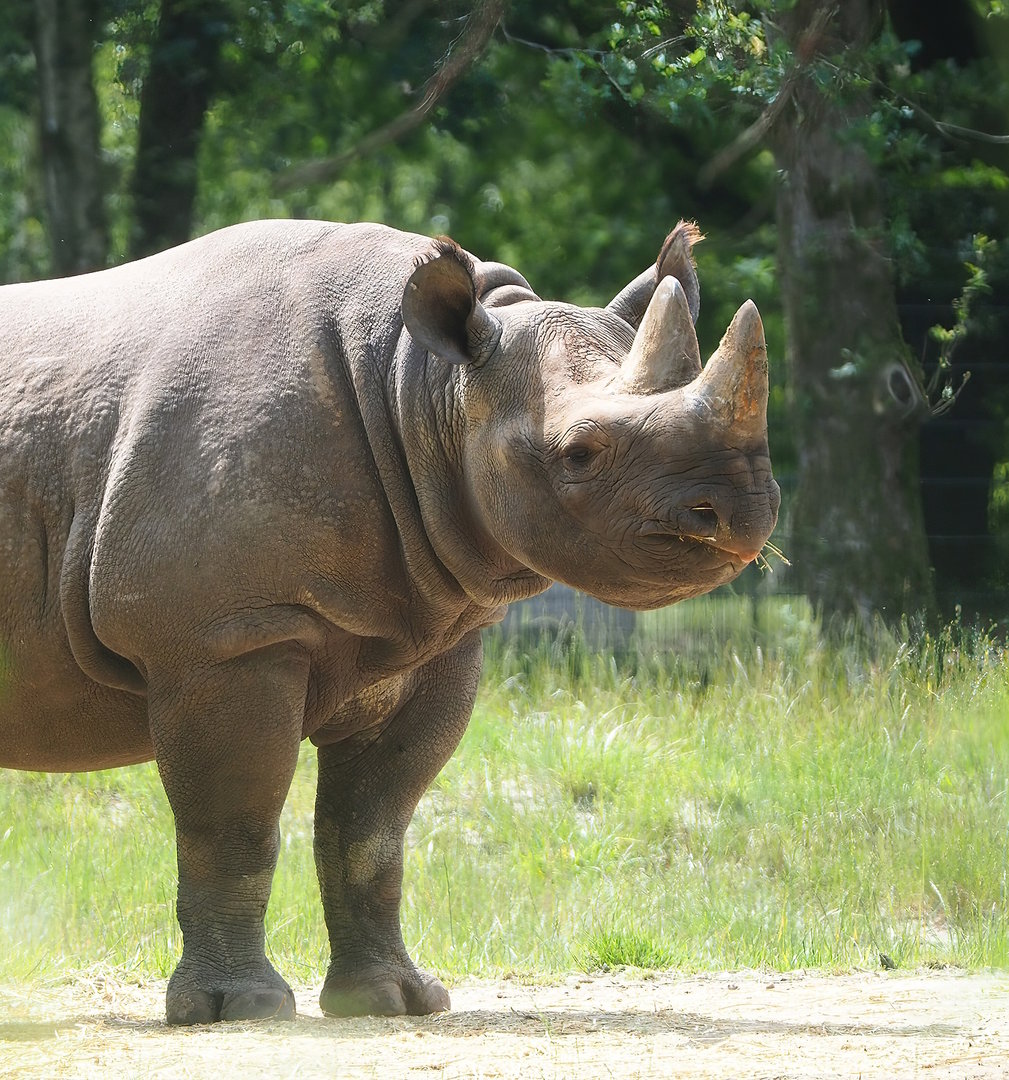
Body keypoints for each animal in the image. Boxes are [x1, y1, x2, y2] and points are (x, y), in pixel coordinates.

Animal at [0, 219, 779, 1024]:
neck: (421, 389)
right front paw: (239, 1009)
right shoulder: (227, 636)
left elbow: (371, 832)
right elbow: (234, 824)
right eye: (579, 452)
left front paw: (392, 1001)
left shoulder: (425, 636)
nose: (743, 511)